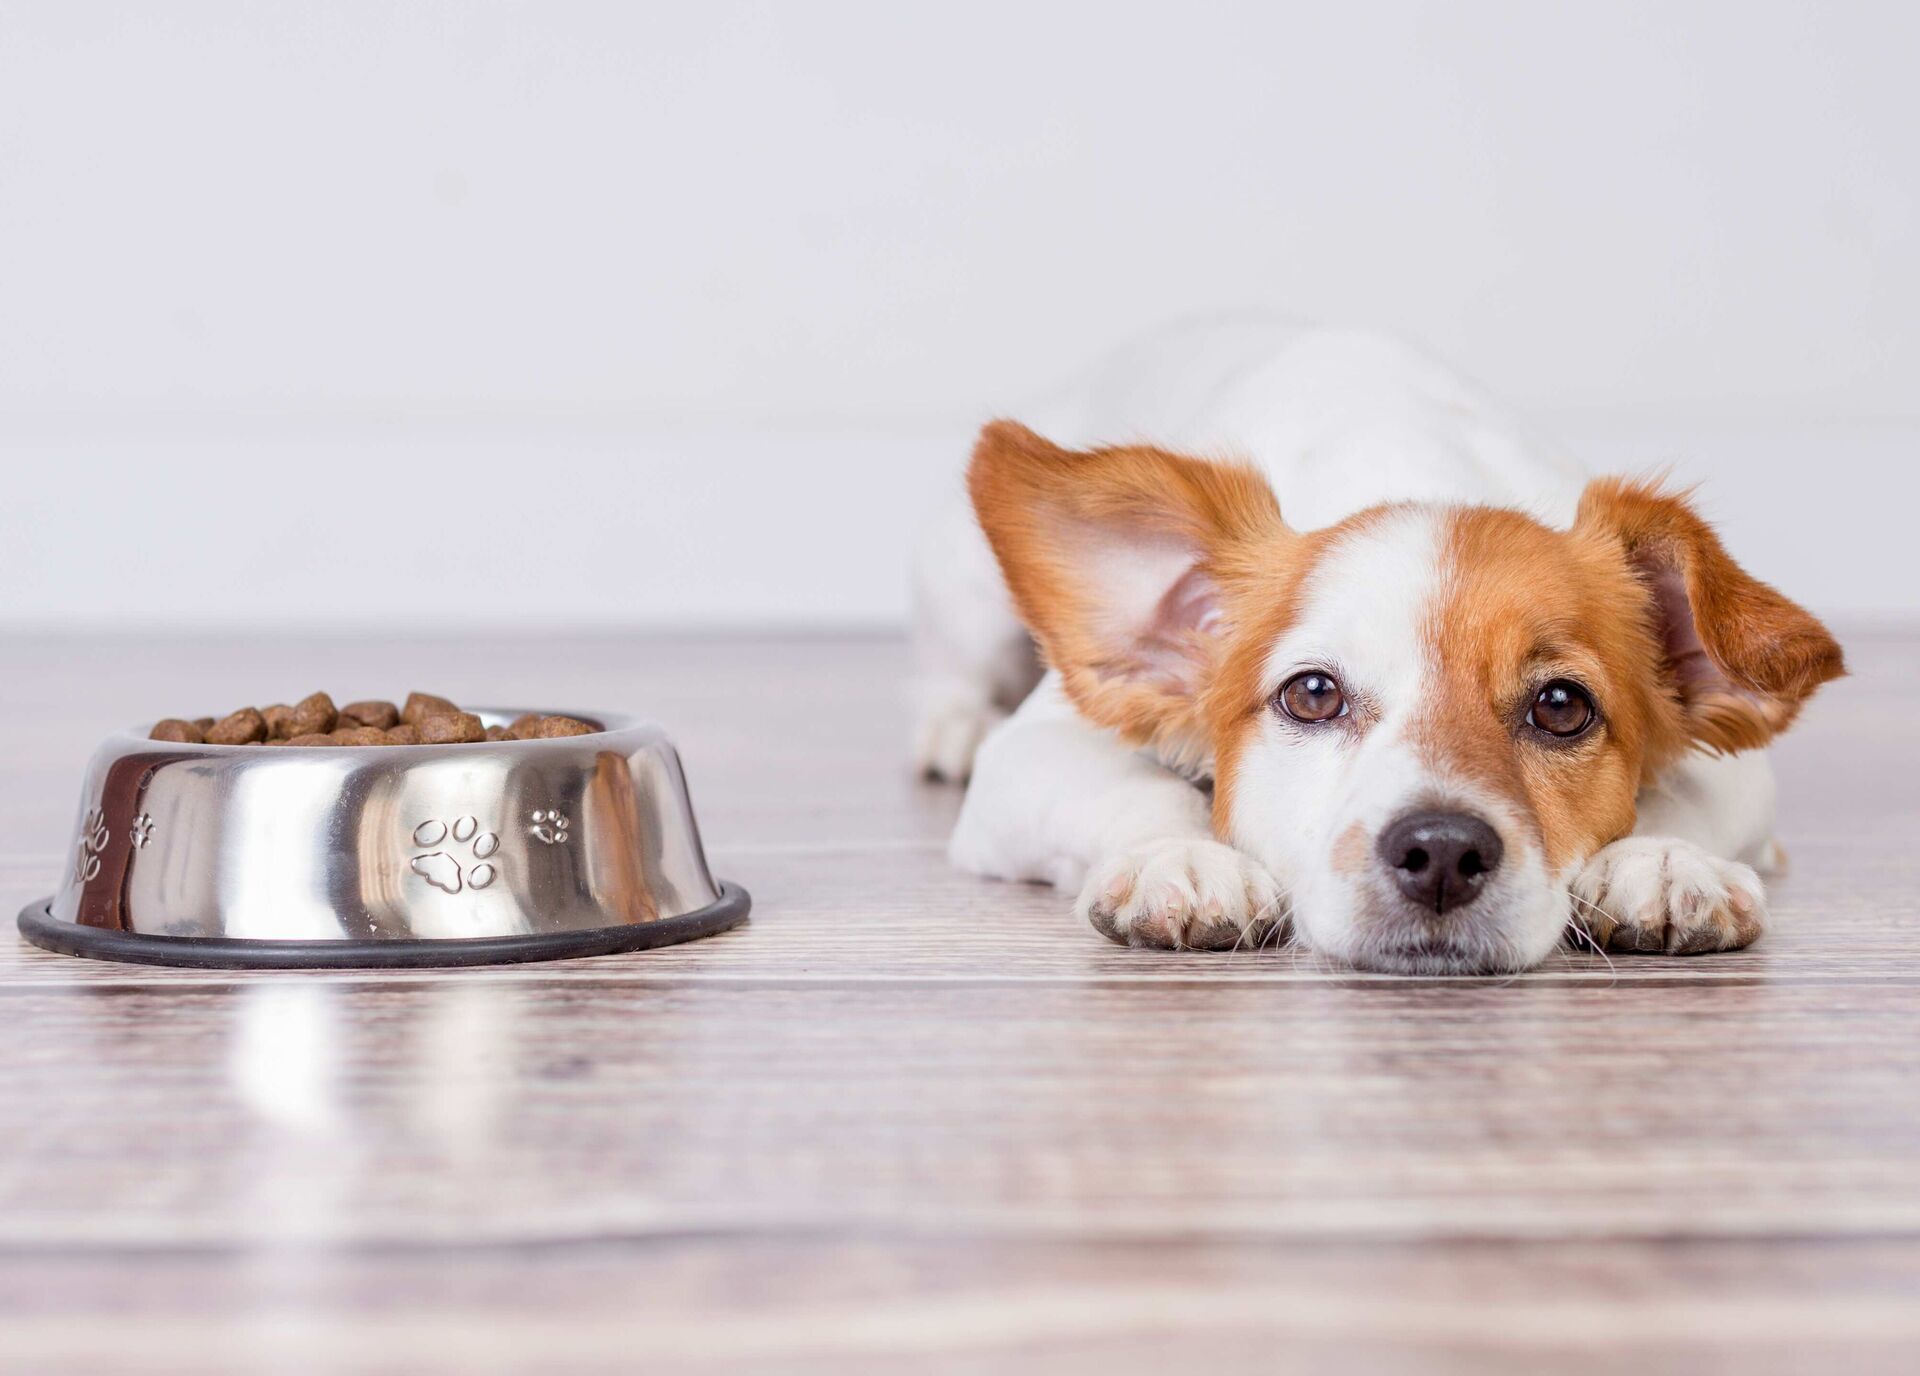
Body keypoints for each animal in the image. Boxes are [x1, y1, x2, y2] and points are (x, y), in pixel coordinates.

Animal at [913, 318, 1843, 978]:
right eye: (1312, 693)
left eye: (1562, 706)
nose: (1442, 854)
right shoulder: (1036, 751)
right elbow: (1139, 788)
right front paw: (1181, 857)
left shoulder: (1741, 772)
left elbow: (1685, 796)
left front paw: (1661, 861)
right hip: (967, 602)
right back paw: (948, 728)